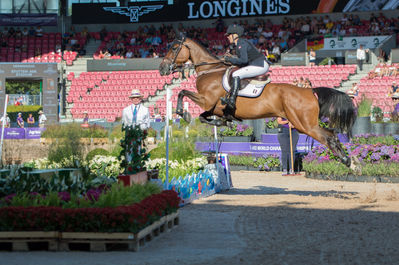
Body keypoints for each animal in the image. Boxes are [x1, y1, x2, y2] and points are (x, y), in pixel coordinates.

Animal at [159, 36, 360, 168]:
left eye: (174, 48)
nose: (162, 69)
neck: (210, 70)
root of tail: (310, 90)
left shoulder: (206, 100)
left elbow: (182, 93)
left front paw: (183, 113)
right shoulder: (212, 107)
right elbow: (203, 116)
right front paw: (222, 121)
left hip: (304, 124)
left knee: (329, 136)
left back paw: (347, 161)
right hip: (303, 123)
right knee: (332, 134)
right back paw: (350, 160)